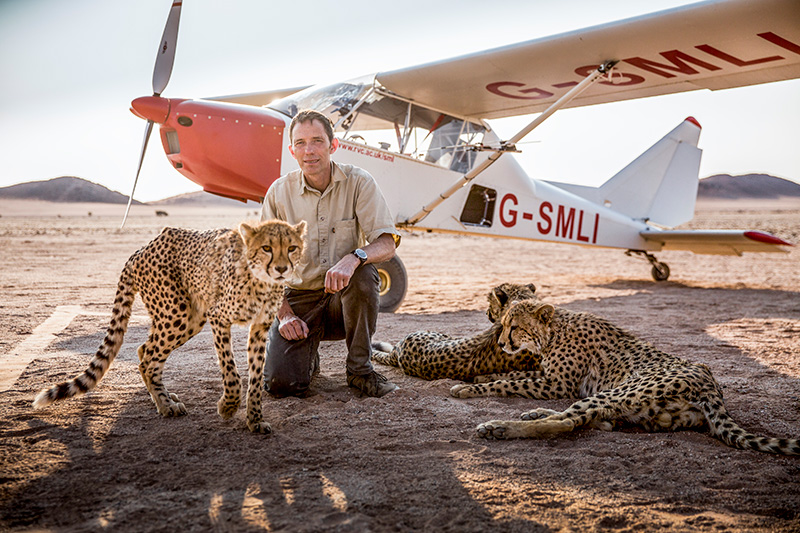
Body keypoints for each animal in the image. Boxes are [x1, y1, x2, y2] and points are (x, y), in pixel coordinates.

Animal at [33, 219, 306, 432]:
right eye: (267, 248)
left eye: (292, 248)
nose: (282, 269)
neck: (262, 280)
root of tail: (144, 247)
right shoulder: (218, 317)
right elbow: (231, 371)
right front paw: (228, 407)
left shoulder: (260, 327)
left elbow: (256, 376)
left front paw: (255, 420)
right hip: (179, 314)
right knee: (148, 358)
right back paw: (166, 406)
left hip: (189, 318)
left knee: (144, 350)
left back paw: (163, 397)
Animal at [454, 298, 800, 456]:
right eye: (503, 325)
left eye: (514, 326)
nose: (502, 343)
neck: (554, 329)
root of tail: (710, 384)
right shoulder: (546, 374)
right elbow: (511, 372)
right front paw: (474, 378)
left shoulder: (557, 384)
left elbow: (509, 381)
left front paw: (467, 389)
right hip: (641, 410)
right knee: (596, 420)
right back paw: (535, 413)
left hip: (621, 390)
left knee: (568, 421)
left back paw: (498, 427)